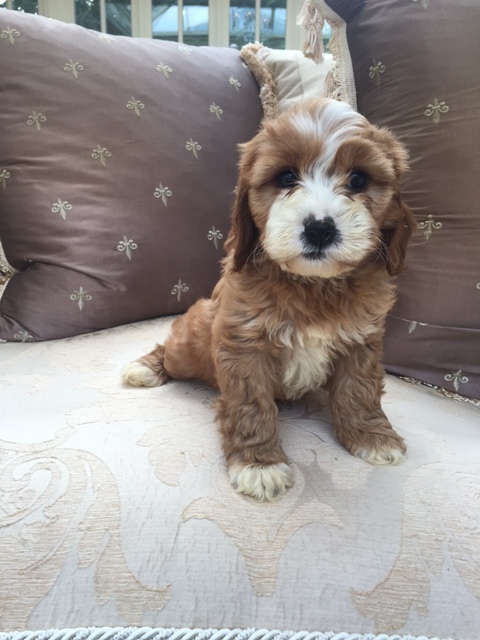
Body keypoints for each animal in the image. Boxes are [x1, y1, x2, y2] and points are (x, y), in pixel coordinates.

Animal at [123, 99, 416, 500]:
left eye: (358, 179)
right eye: (286, 177)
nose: (319, 228)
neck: (312, 285)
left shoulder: (362, 340)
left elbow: (360, 389)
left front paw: (372, 436)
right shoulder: (244, 344)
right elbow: (251, 404)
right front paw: (259, 465)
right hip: (191, 343)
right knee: (170, 348)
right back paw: (145, 367)